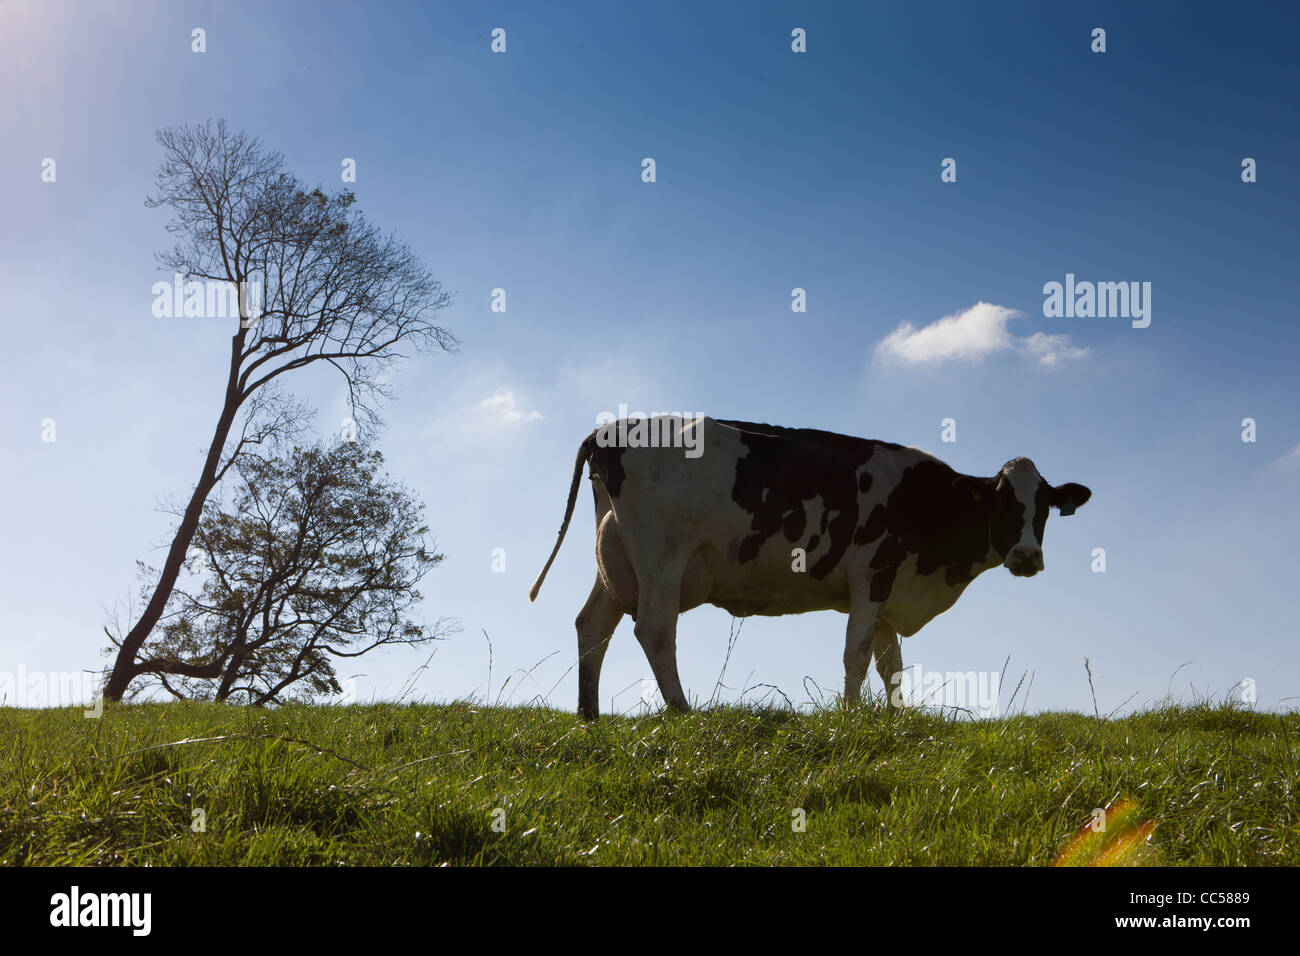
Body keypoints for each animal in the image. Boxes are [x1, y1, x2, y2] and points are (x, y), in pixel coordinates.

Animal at [529, 416, 1091, 719]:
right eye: (1002, 504)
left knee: (593, 626)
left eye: (1043, 508)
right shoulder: (873, 574)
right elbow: (857, 655)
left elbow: (890, 662)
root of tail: (611, 428)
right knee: (654, 630)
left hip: (614, 558)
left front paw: (896, 719)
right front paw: (851, 717)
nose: (1027, 557)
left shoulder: (888, 588)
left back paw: (589, 717)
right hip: (660, 558)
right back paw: (683, 711)